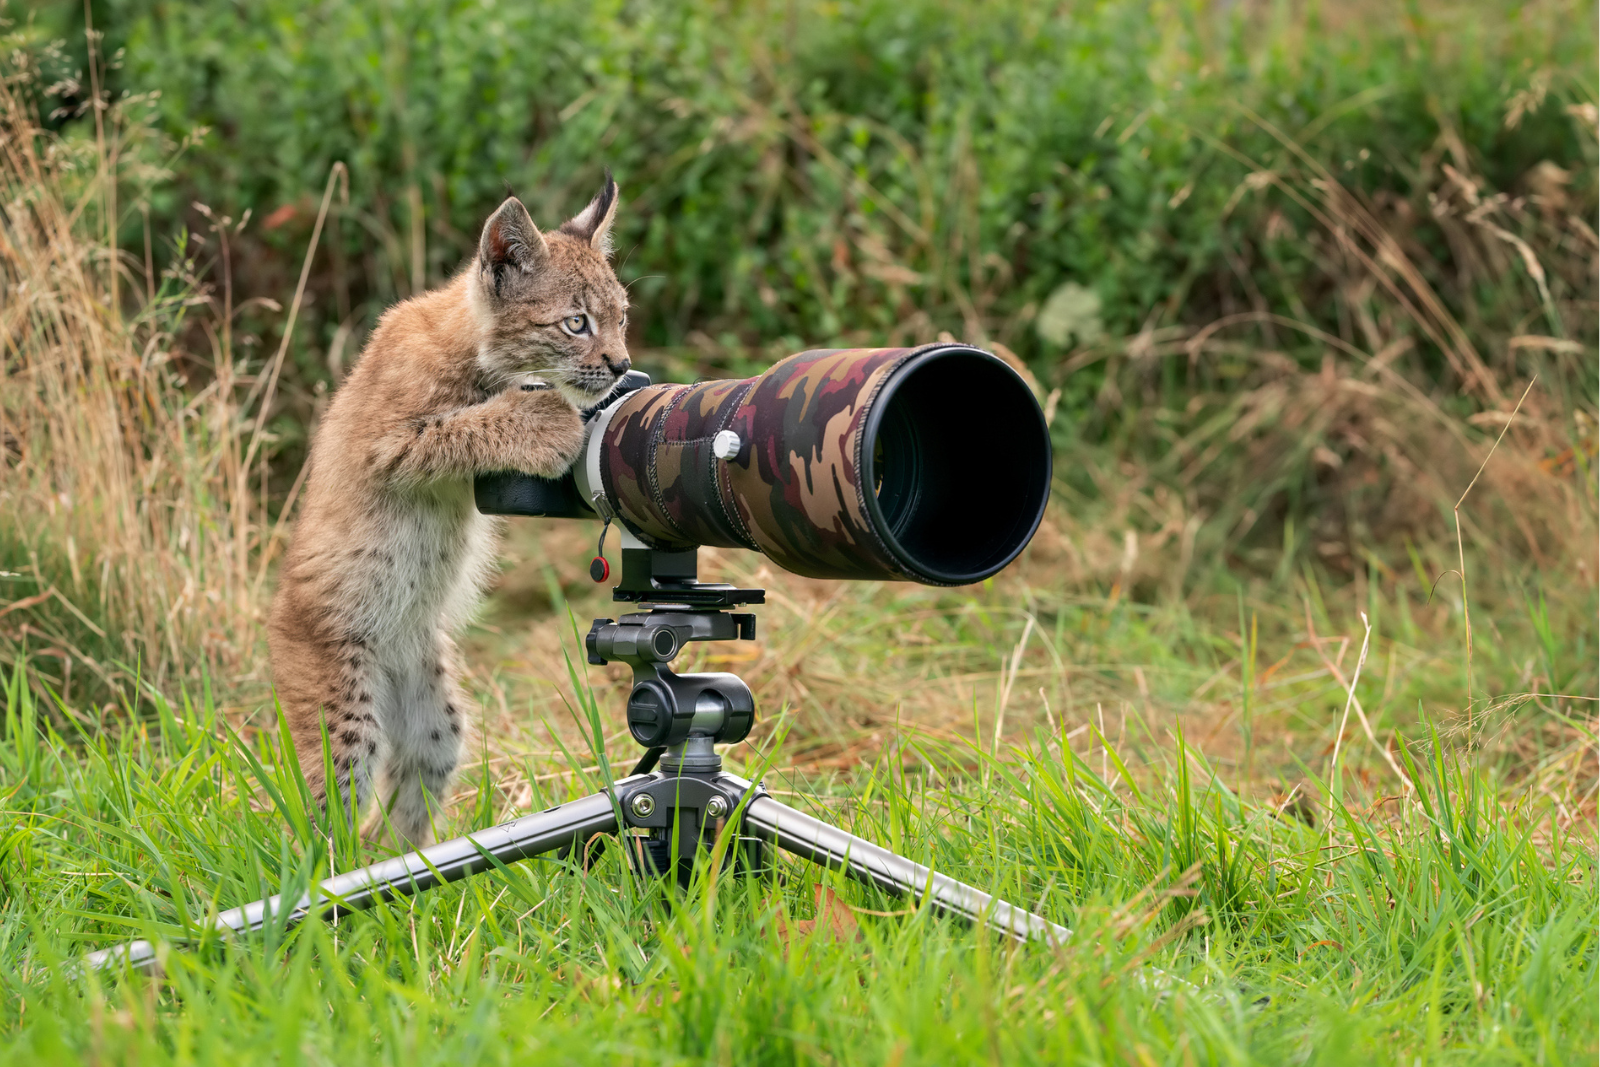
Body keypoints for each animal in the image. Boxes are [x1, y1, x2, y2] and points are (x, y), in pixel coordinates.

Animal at [272, 177, 627, 844]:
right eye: (576, 323)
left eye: (622, 318)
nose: (621, 366)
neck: (477, 349)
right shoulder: (385, 444)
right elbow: (460, 426)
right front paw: (549, 420)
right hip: (343, 706)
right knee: (321, 810)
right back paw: (331, 869)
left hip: (439, 714)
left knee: (408, 792)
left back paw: (398, 864)